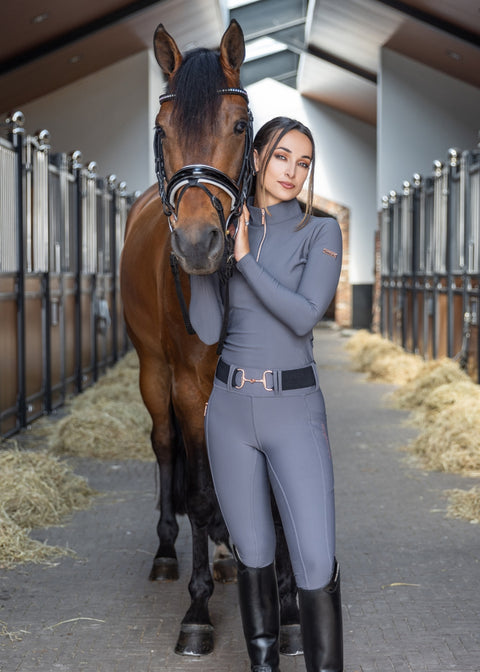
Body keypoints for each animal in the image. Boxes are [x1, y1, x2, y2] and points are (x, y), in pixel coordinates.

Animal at [120, 19, 300, 656]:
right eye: (161, 130)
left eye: (241, 126)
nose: (198, 243)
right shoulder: (190, 387)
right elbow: (197, 491)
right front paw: (197, 612)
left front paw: (288, 606)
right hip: (155, 375)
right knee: (167, 448)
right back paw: (170, 554)